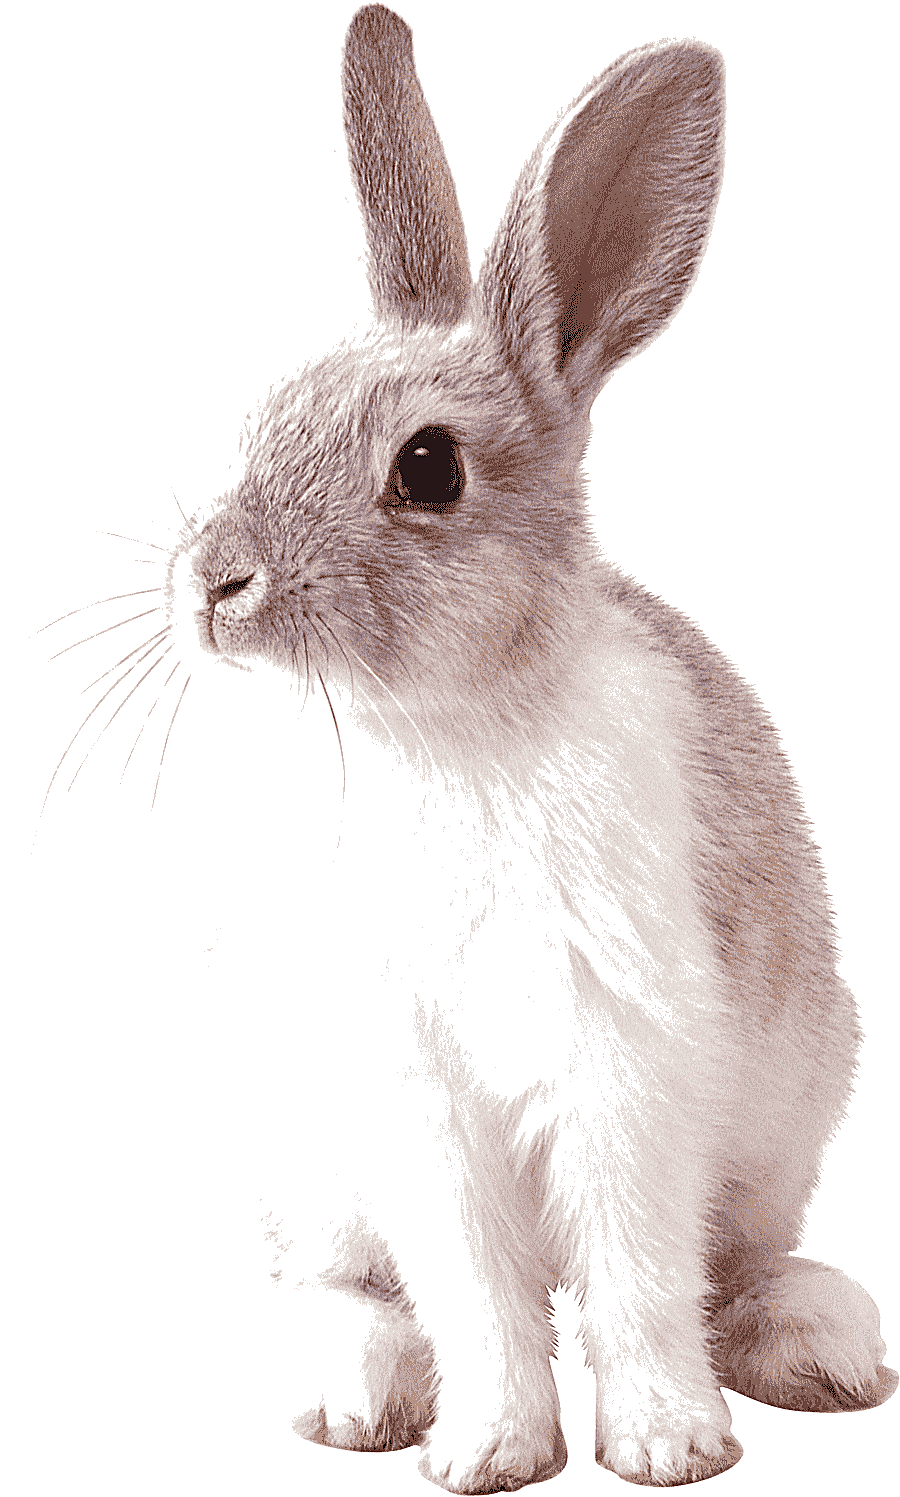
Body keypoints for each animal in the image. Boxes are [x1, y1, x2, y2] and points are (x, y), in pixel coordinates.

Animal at [162, 4, 896, 1491]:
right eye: (264, 415)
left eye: (428, 467)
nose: (212, 584)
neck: (434, 728)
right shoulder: (413, 1109)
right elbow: (476, 1286)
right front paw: (491, 1451)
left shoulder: (627, 1072)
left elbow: (637, 1279)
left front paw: (670, 1447)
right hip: (302, 1144)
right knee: (333, 1280)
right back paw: (357, 1393)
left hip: (787, 1115)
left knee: (732, 1265)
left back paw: (824, 1345)